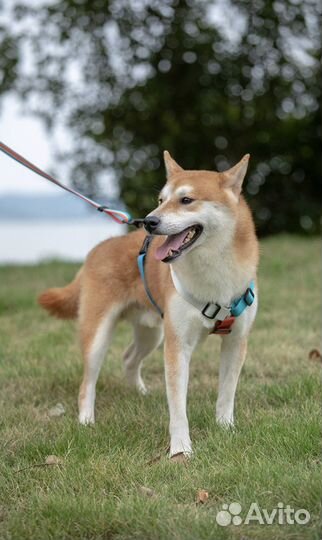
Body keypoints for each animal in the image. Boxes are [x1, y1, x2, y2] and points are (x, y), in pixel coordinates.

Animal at [38, 153, 260, 460]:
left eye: (186, 200)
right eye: (160, 199)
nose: (149, 221)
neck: (215, 272)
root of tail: (96, 251)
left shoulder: (236, 340)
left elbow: (226, 394)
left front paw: (226, 428)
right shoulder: (178, 345)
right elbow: (177, 407)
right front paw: (181, 449)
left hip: (152, 333)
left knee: (129, 358)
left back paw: (141, 394)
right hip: (100, 334)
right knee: (87, 382)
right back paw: (86, 420)